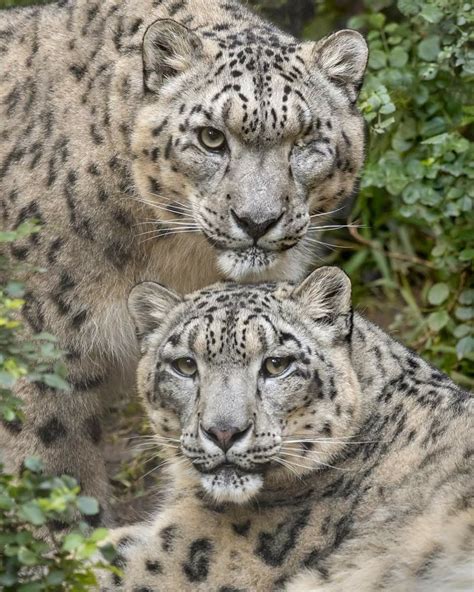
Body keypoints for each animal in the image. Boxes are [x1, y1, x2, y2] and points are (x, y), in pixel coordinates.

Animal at [0, 0, 366, 520]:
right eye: (211, 137)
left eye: (305, 141)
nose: (257, 220)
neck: (174, 258)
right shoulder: (40, 343)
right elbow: (49, 463)